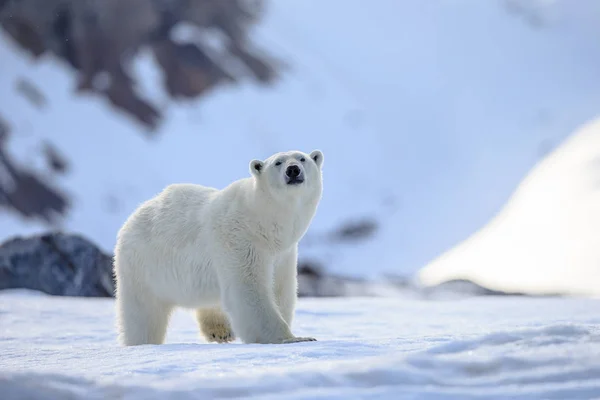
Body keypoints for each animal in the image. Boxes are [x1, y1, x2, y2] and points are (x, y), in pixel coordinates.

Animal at [112, 148, 324, 346]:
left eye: (302, 158)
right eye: (278, 162)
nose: (293, 170)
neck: (262, 221)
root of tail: (132, 218)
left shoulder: (283, 252)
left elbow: (280, 288)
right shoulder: (239, 238)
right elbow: (248, 288)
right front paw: (292, 338)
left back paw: (219, 330)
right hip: (143, 265)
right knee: (143, 313)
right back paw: (142, 341)